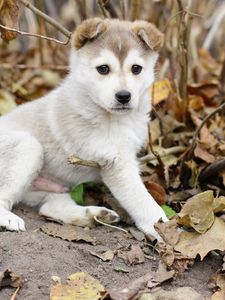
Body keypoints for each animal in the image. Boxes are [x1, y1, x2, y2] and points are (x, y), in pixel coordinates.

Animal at [0, 18, 167, 239]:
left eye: (136, 69)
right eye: (103, 69)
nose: (124, 96)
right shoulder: (116, 163)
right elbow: (143, 201)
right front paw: (164, 227)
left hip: (51, 188)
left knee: (50, 208)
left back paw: (95, 215)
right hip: (27, 147)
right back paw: (8, 218)